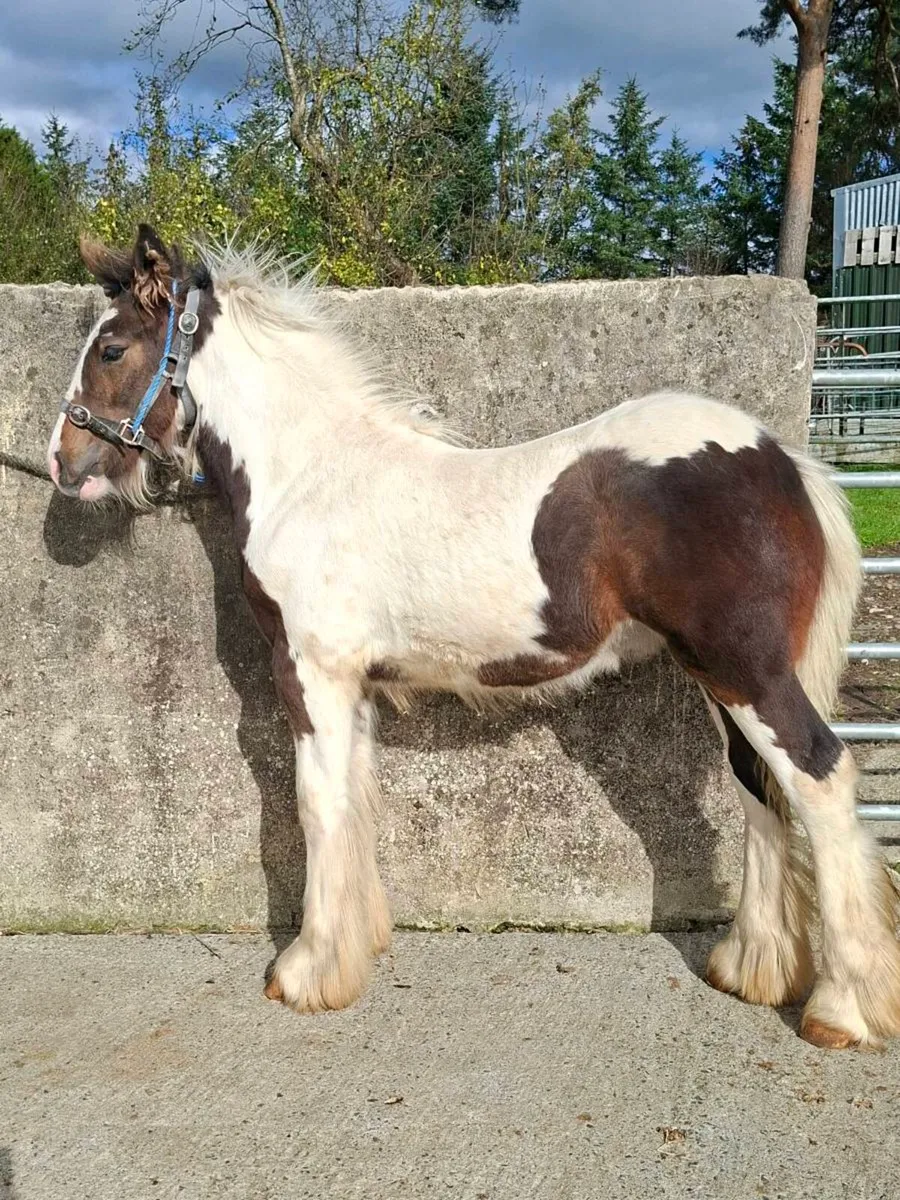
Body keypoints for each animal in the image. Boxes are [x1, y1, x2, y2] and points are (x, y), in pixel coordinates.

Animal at [48, 225, 900, 1050]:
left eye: (112, 348)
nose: (64, 460)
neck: (312, 478)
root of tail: (781, 460)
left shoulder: (312, 672)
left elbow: (316, 803)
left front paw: (309, 970)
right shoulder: (354, 684)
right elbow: (356, 794)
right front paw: (360, 944)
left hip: (747, 671)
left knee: (819, 779)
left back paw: (844, 1009)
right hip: (722, 676)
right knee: (758, 787)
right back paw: (753, 968)